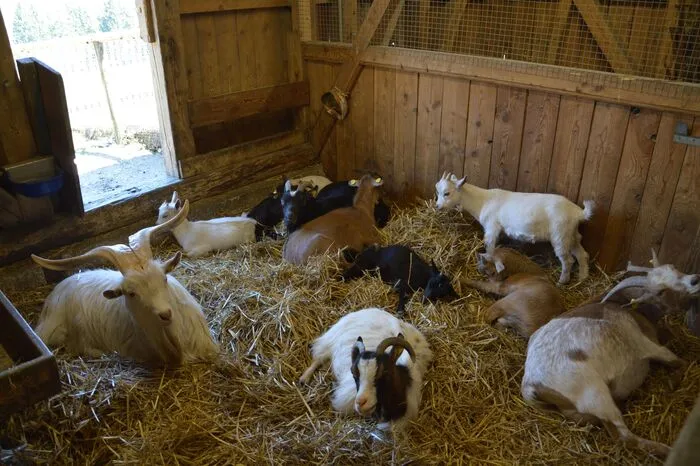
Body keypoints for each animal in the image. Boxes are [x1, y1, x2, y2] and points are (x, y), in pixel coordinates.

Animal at [299, 307, 432, 428]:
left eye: (385, 372)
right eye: (354, 374)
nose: (360, 402)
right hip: (329, 342)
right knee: (318, 358)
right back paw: (304, 379)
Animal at [435, 172, 593, 284]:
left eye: (447, 193)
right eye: (438, 192)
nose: (437, 206)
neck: (483, 200)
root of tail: (578, 212)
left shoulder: (492, 226)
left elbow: (490, 246)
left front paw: (489, 261)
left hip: (560, 235)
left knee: (568, 260)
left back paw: (562, 281)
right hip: (572, 235)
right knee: (582, 254)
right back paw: (582, 278)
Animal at [521, 261, 690, 458]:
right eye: (661, 291)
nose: (685, 303)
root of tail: (531, 383)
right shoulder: (646, 345)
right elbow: (678, 361)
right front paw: (673, 382)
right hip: (595, 395)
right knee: (624, 437)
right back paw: (667, 450)